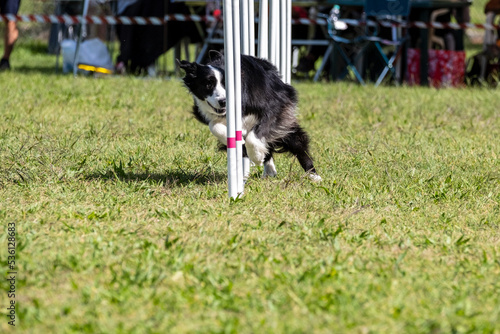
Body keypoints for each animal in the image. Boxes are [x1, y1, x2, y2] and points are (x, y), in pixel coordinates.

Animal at [178, 53, 322, 181]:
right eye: (208, 84)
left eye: (227, 85)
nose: (223, 102)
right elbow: (214, 126)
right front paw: (237, 142)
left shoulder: (274, 106)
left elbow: (255, 135)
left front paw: (256, 155)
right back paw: (268, 170)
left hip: (285, 126)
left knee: (297, 144)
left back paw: (313, 176)